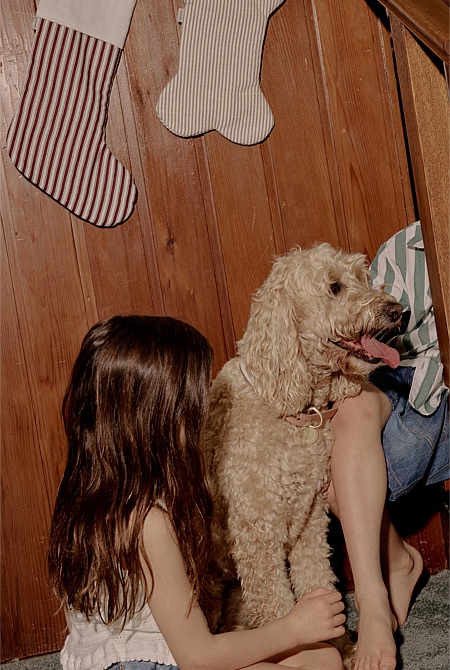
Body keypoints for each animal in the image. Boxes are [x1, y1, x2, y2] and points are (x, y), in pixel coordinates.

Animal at [204, 244, 404, 668]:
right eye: (334, 286)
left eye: (361, 277)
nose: (396, 310)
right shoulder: (258, 540)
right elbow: (280, 612)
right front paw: (307, 653)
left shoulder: (309, 524)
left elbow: (317, 582)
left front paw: (341, 646)